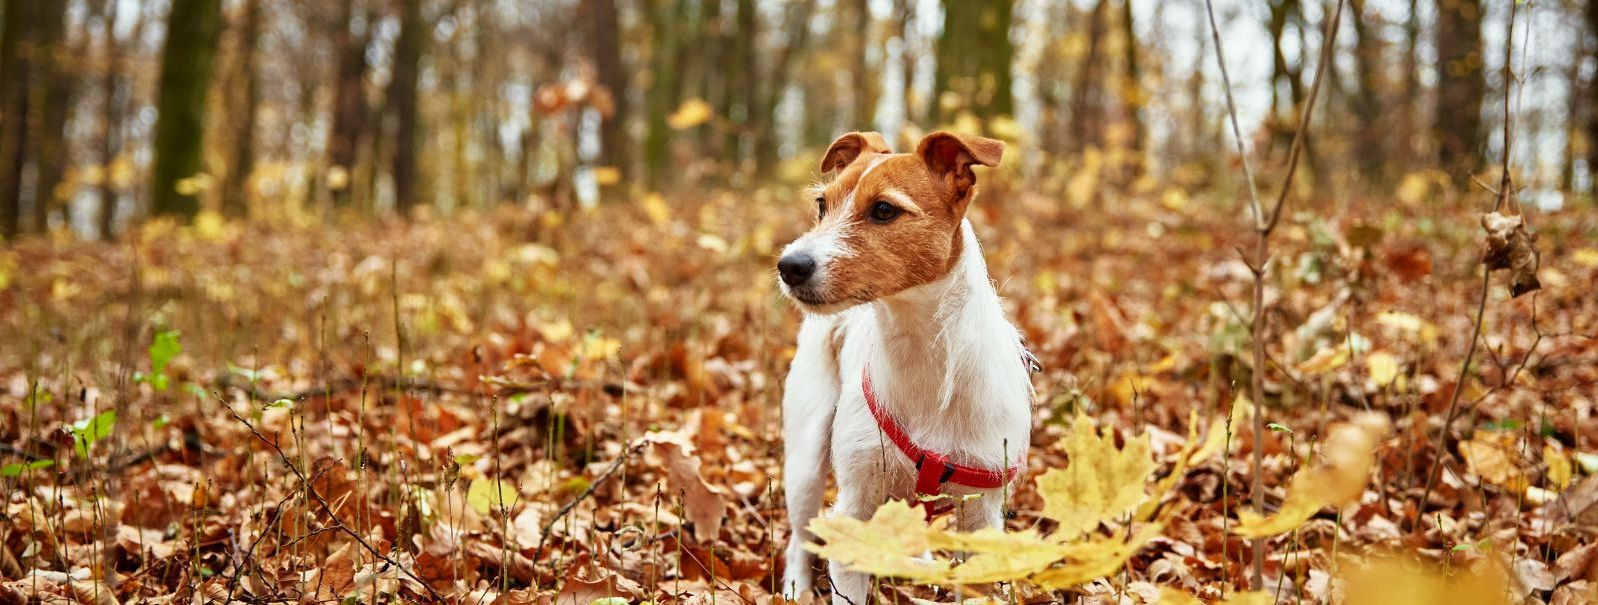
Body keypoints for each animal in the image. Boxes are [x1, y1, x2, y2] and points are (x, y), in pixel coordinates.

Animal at [776, 130, 1029, 603]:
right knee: (800, 536)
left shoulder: (982, 516)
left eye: (883, 210)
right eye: (822, 205)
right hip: (804, 456)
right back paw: (795, 587)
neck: (921, 353)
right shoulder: (854, 510)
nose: (789, 265)